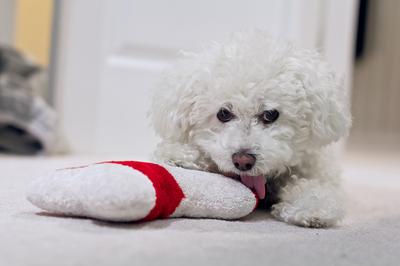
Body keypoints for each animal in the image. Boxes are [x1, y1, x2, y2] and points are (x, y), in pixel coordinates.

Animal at [149, 30, 350, 227]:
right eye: (223, 113)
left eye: (270, 114)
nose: (243, 161)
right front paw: (180, 155)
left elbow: (311, 187)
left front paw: (313, 207)